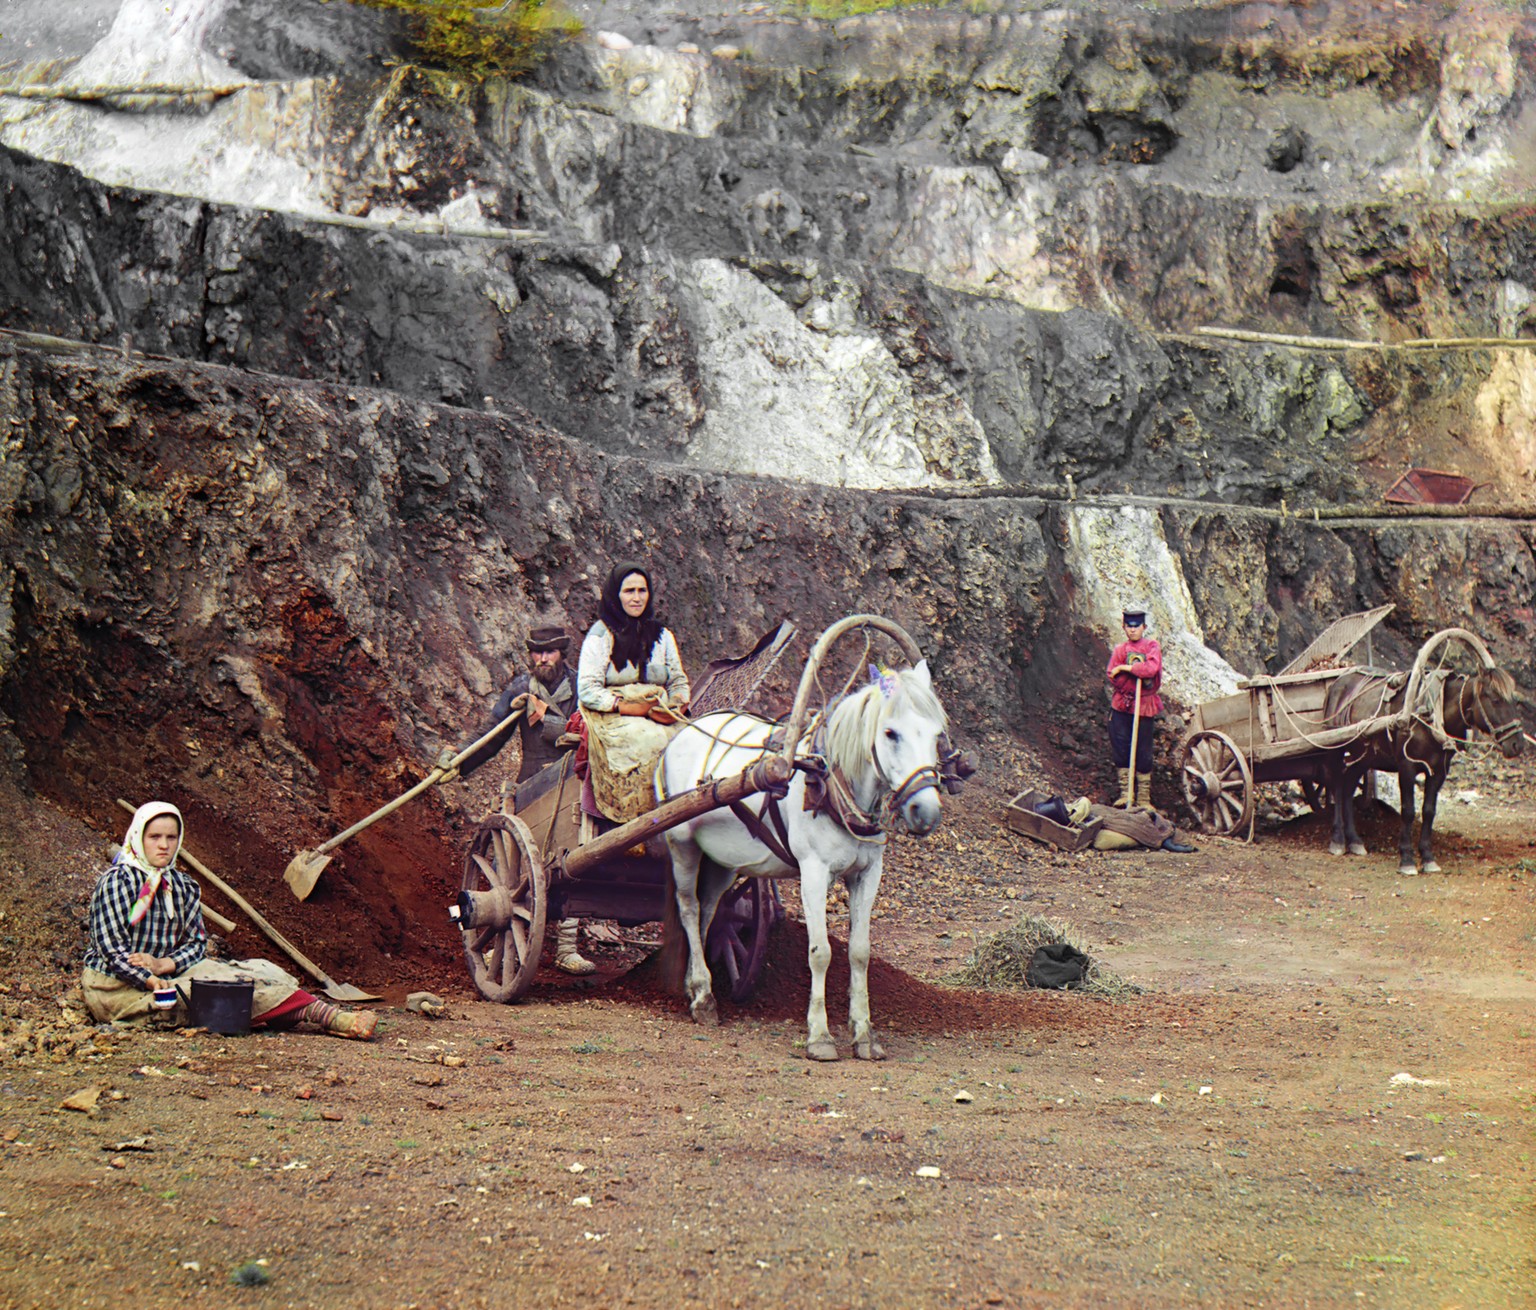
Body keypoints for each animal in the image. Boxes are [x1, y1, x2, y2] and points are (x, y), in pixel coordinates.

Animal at [660, 663, 946, 1062]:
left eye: (937, 734)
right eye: (890, 733)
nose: (926, 812)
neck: (831, 783)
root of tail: (682, 733)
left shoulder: (868, 874)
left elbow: (859, 952)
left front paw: (864, 1034)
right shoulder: (814, 871)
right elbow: (820, 952)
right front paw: (820, 1036)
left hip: (722, 861)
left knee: (708, 911)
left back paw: (697, 987)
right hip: (682, 843)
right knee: (688, 908)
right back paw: (702, 996)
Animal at [1320, 669, 1523, 872]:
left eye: (1514, 700)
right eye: (1495, 699)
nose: (1517, 744)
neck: (1430, 715)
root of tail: (1338, 682)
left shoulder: (1438, 772)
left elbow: (1429, 811)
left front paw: (1427, 857)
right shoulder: (1407, 768)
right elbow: (1408, 811)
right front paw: (1407, 858)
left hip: (1363, 756)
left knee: (1348, 788)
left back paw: (1354, 841)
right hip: (1335, 748)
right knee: (1337, 787)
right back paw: (1338, 840)